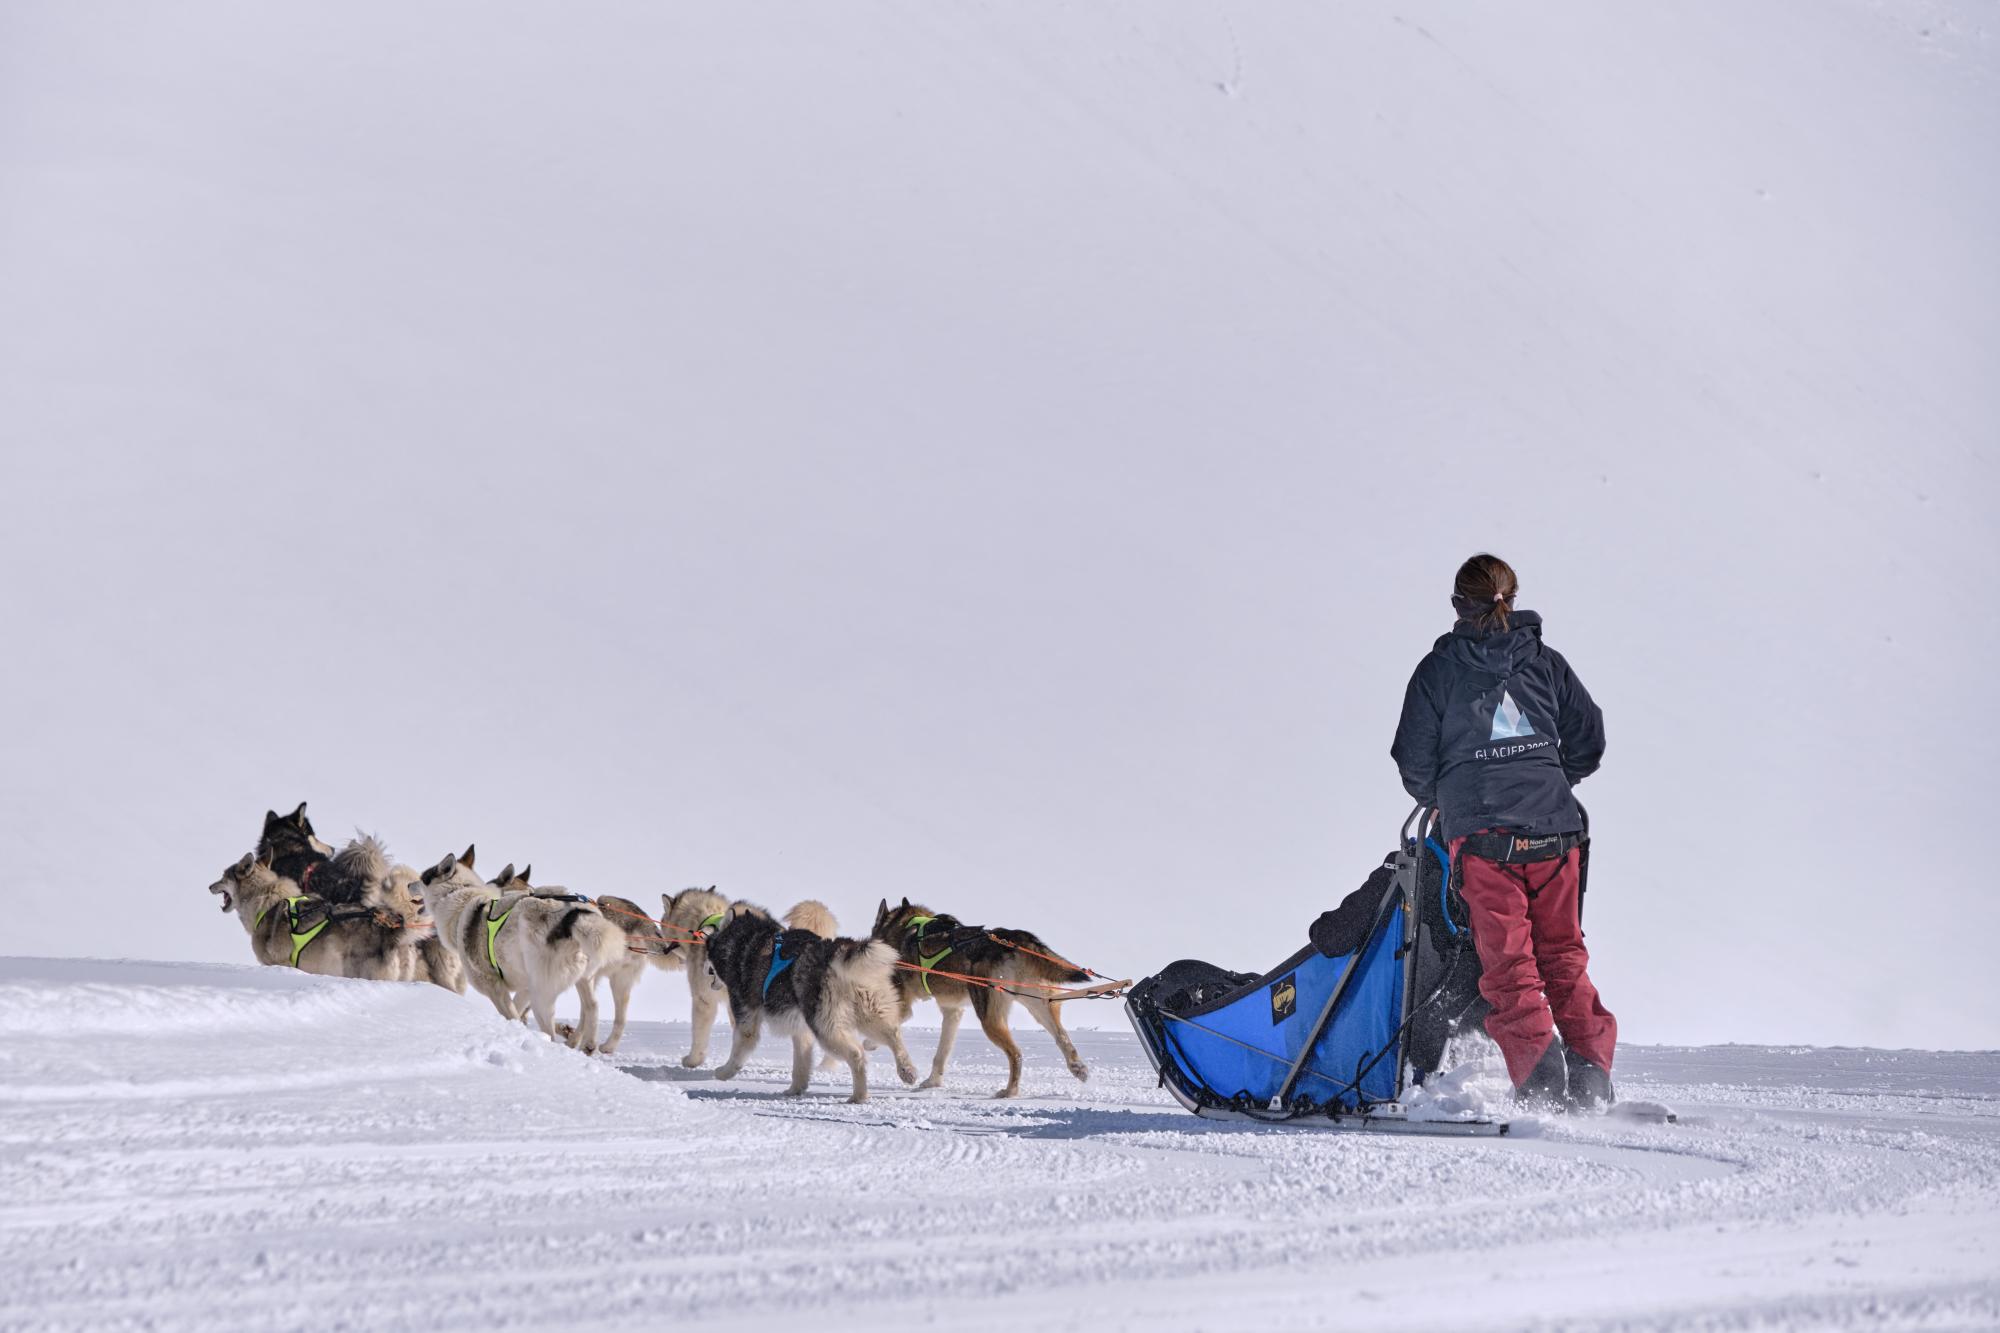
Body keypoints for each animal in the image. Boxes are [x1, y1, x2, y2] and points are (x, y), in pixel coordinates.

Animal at [412, 852, 616, 1040]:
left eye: (422, 878)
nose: (408, 884)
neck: (461, 897)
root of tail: (573, 915)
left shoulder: (493, 985)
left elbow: (511, 1013)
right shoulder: (524, 987)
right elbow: (517, 1010)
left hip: (541, 995)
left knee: (550, 1032)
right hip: (581, 979)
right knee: (591, 1007)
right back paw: (587, 1044)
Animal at [704, 904, 916, 1096]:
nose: (706, 969)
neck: (742, 942)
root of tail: (835, 951)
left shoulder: (745, 1017)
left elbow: (738, 1052)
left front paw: (722, 1072)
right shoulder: (801, 1029)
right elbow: (801, 1063)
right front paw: (795, 1089)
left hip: (826, 1028)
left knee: (857, 1054)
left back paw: (859, 1096)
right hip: (870, 1012)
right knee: (893, 1034)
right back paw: (907, 1071)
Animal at [876, 896, 1096, 1096]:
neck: (904, 927)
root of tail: (1010, 936)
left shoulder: (902, 1006)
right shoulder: (952, 1012)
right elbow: (941, 1054)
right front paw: (932, 1082)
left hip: (989, 1018)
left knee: (1016, 1053)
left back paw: (1010, 1091)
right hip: (1040, 1005)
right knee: (1061, 1037)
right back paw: (1078, 1068)